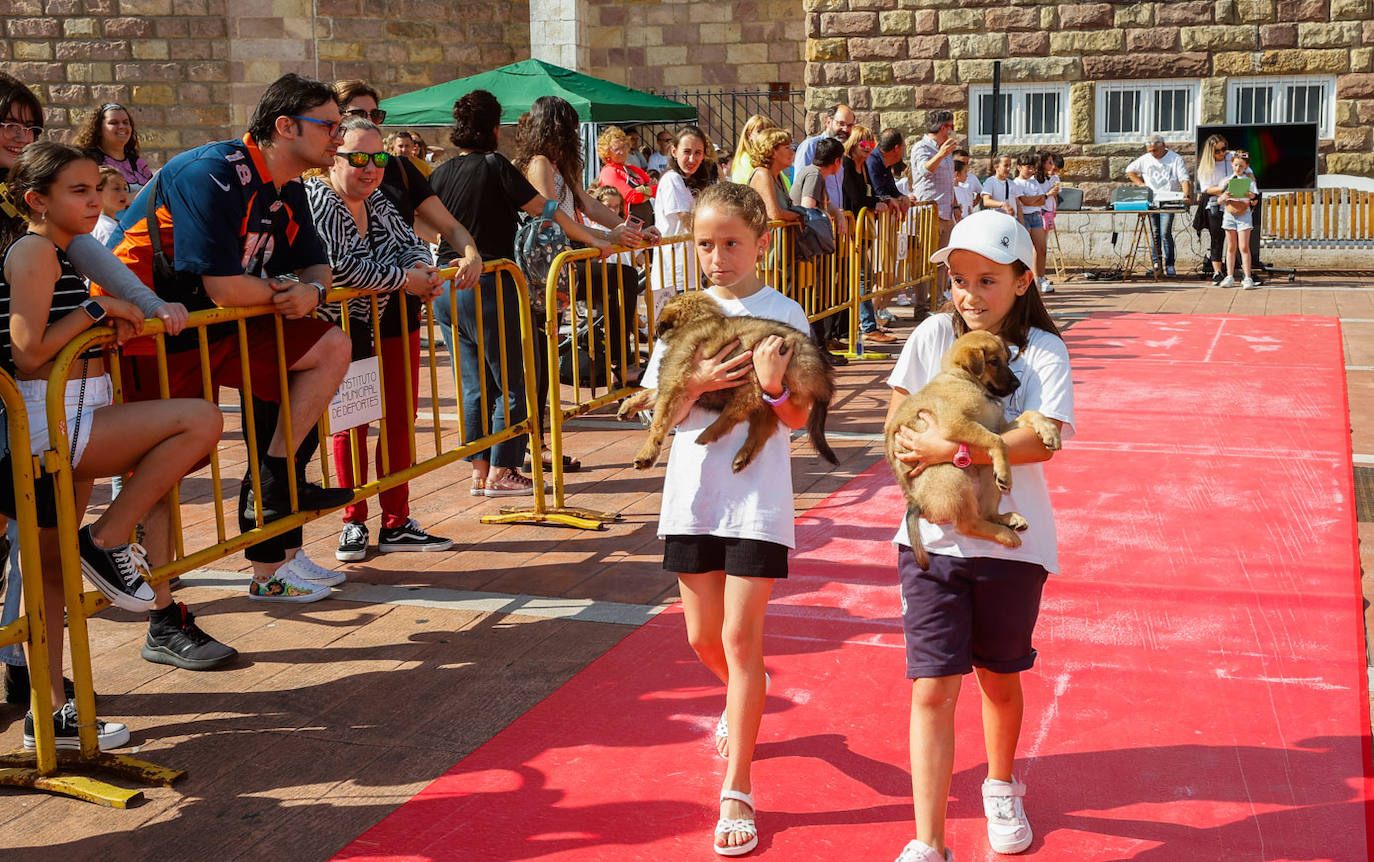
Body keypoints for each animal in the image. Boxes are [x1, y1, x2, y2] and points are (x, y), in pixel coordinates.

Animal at [621, 292, 835, 475]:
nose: (653, 334)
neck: (697, 321)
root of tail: (823, 373)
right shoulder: (681, 387)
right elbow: (650, 394)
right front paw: (628, 406)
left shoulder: (674, 383)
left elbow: (658, 423)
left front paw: (646, 455)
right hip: (768, 394)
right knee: (762, 427)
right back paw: (742, 456)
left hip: (755, 373)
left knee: (738, 410)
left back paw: (709, 433)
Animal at [884, 328, 1066, 566]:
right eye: (993, 361)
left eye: (1007, 359)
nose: (1016, 385)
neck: (964, 379)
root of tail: (915, 502)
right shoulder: (957, 423)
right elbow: (996, 440)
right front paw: (1006, 471)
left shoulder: (998, 426)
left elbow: (1030, 414)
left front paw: (1050, 431)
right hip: (953, 476)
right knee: (967, 525)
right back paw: (1006, 533)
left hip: (986, 472)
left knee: (986, 513)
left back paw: (1008, 518)